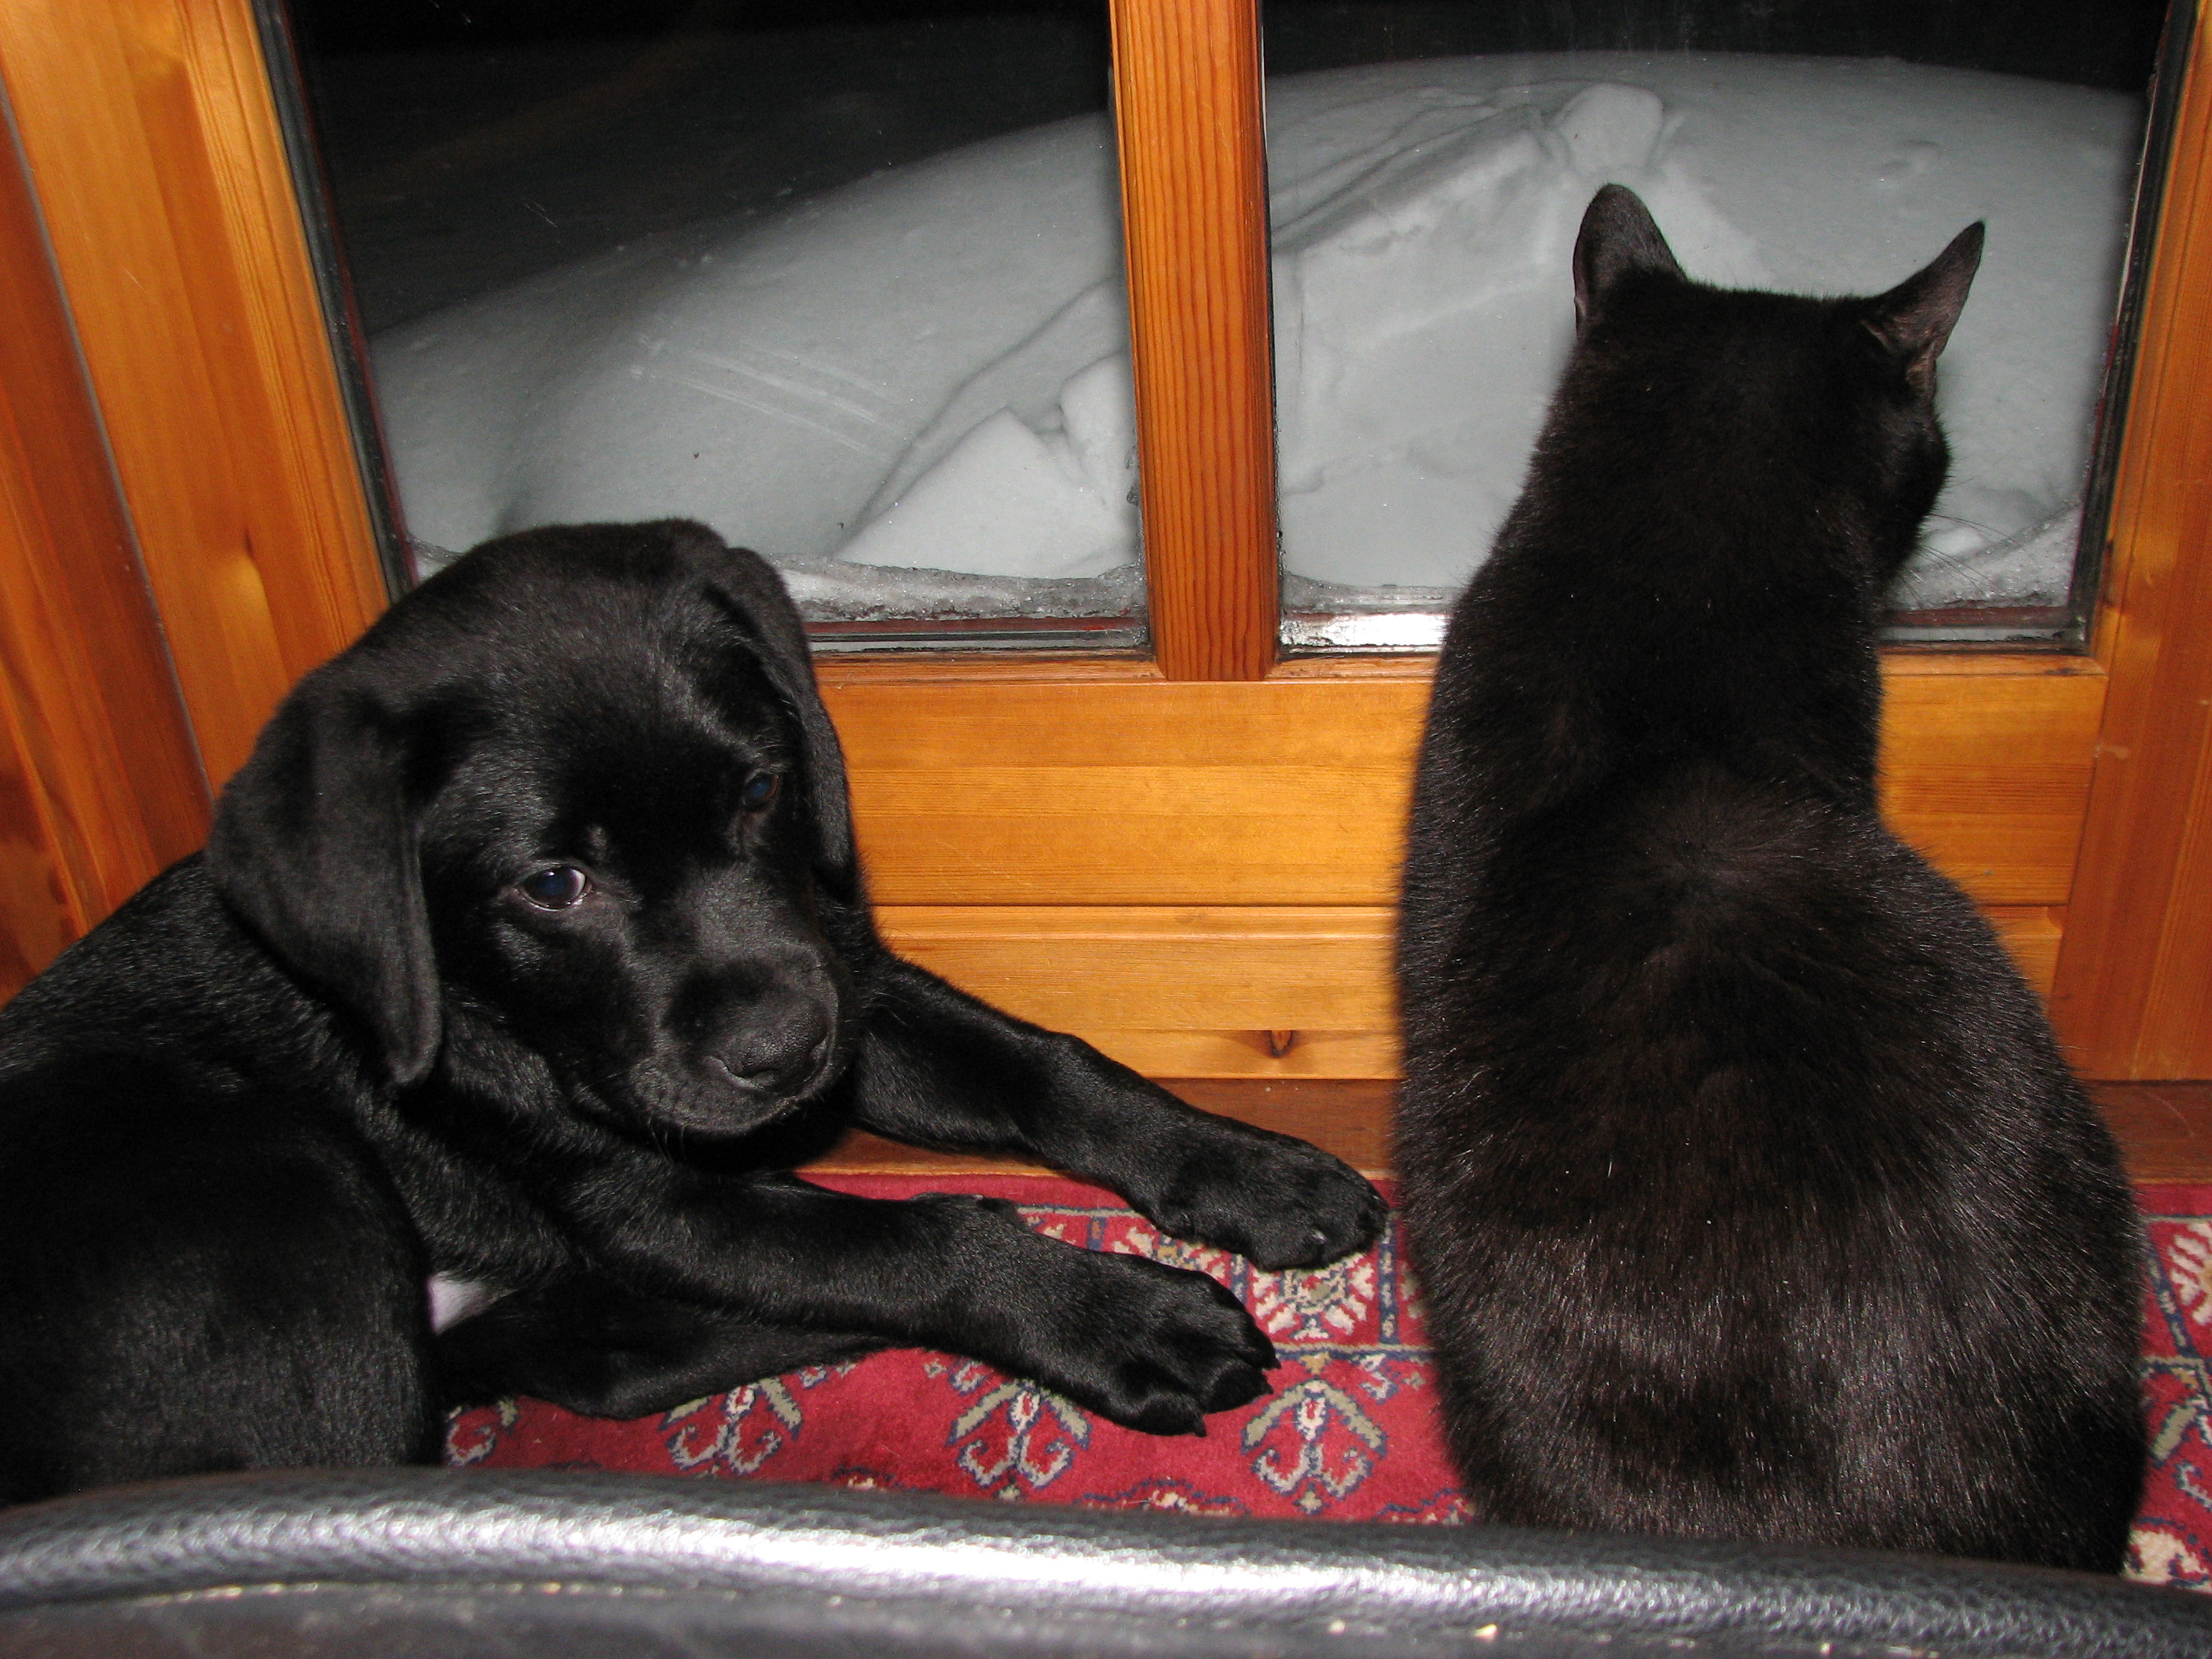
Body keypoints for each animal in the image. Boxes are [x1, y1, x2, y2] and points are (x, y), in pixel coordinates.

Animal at [0, 520, 1383, 1503]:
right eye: (553, 884)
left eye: (764, 789)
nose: (784, 1055)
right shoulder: (646, 1190)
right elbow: (910, 1241)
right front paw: (1116, 1313)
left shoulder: (841, 976)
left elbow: (1055, 1070)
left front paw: (1252, 1169)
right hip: (285, 1168)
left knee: (598, 1357)